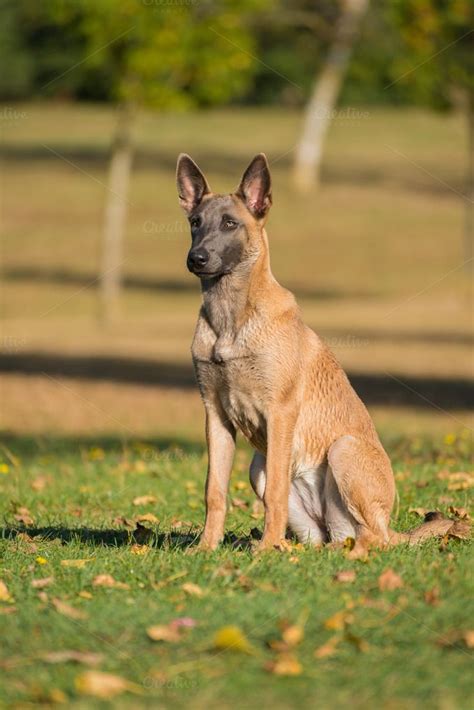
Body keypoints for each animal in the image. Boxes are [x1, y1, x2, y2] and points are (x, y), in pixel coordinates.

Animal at [176, 153, 464, 560]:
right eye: (195, 223)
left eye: (230, 223)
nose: (196, 258)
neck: (231, 318)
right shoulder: (216, 416)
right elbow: (214, 491)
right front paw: (206, 547)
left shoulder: (279, 413)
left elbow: (275, 493)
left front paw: (264, 550)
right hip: (259, 467)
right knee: (326, 538)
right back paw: (295, 549)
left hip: (342, 451)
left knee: (373, 539)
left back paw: (324, 552)